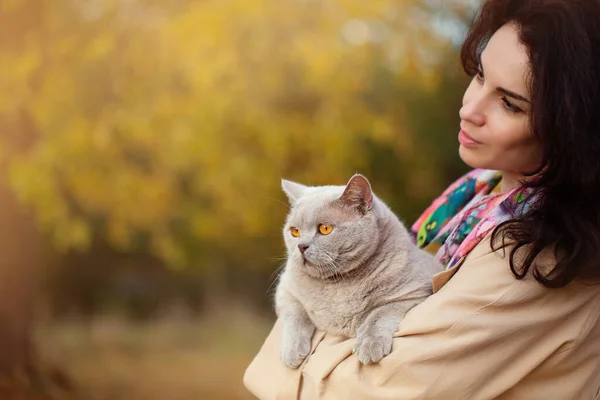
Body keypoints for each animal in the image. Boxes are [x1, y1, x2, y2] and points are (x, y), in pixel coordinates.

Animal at [276, 175, 440, 368]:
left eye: (325, 228)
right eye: (294, 231)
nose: (301, 246)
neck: (337, 284)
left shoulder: (414, 292)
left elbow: (378, 314)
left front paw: (369, 345)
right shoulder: (285, 289)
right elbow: (295, 314)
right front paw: (292, 351)